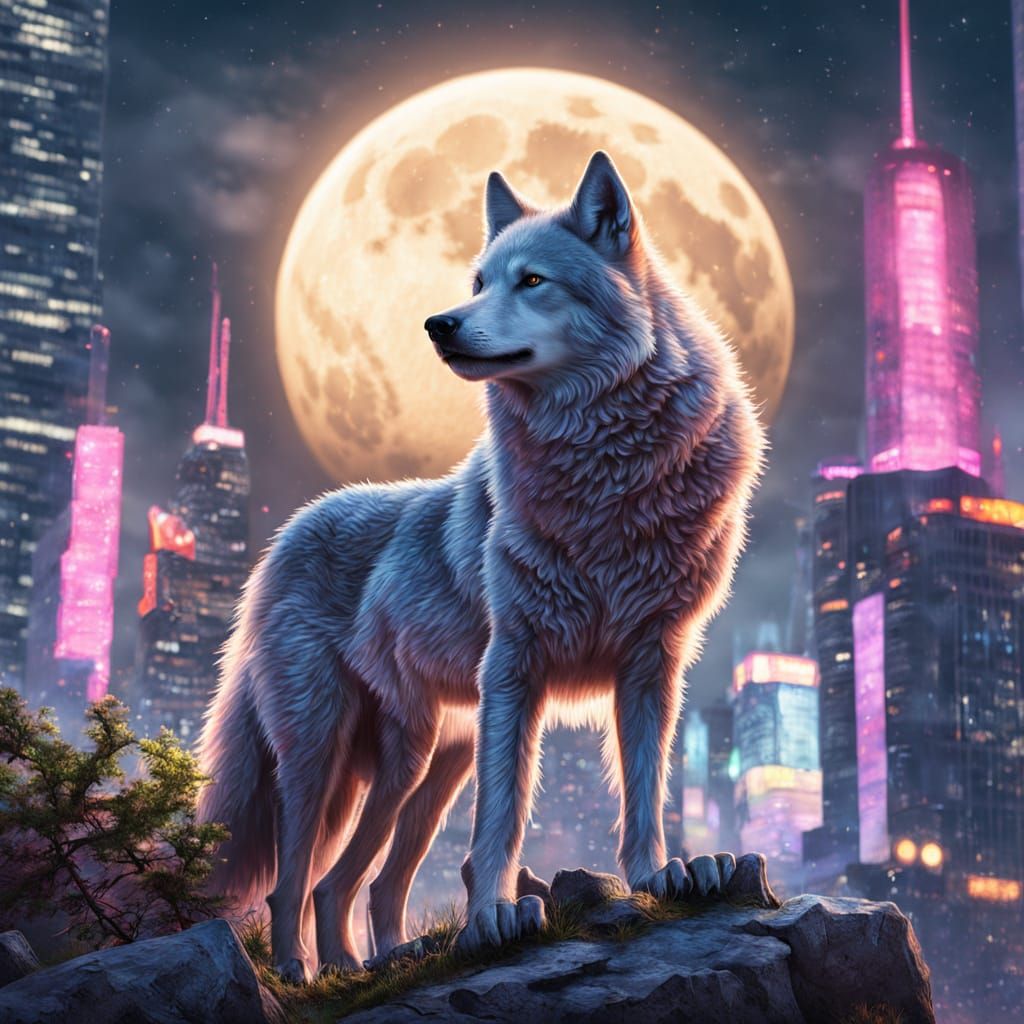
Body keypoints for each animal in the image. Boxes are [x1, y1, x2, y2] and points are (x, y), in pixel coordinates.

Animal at [196, 150, 765, 981]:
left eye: (531, 280)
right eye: (477, 281)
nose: (439, 324)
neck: (604, 474)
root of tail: (280, 543)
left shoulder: (652, 661)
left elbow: (645, 788)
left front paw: (660, 875)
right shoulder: (514, 668)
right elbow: (504, 813)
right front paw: (495, 917)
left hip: (424, 764)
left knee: (358, 885)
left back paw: (370, 964)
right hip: (329, 758)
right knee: (295, 881)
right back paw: (305, 973)